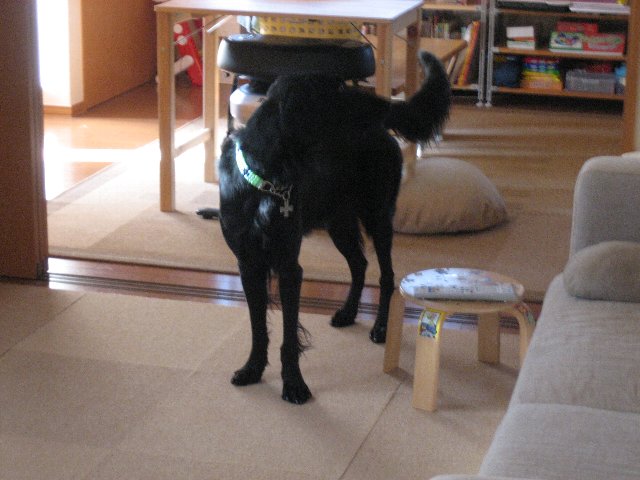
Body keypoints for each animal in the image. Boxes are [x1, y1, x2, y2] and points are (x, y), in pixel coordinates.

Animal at [217, 51, 451, 404]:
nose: (384, 103)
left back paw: (380, 328)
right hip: (338, 221)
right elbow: (258, 327)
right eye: (338, 90)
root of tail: (382, 129)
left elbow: (288, 335)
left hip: (377, 216)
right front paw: (253, 369)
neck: (266, 180)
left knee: (386, 276)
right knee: (359, 264)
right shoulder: (248, 263)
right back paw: (348, 312)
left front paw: (294, 384)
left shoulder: (288, 266)